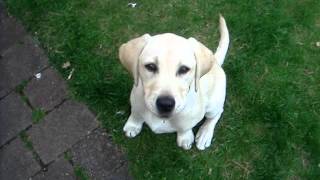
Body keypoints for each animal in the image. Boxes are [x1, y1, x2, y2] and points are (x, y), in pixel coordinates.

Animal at [119, 15, 229, 150]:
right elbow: (136, 114)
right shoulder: (136, 101)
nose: (165, 104)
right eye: (150, 66)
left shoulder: (190, 118)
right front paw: (133, 125)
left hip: (213, 104)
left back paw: (205, 134)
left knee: (216, 114)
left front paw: (185, 138)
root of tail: (216, 62)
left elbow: (185, 128)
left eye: (184, 69)